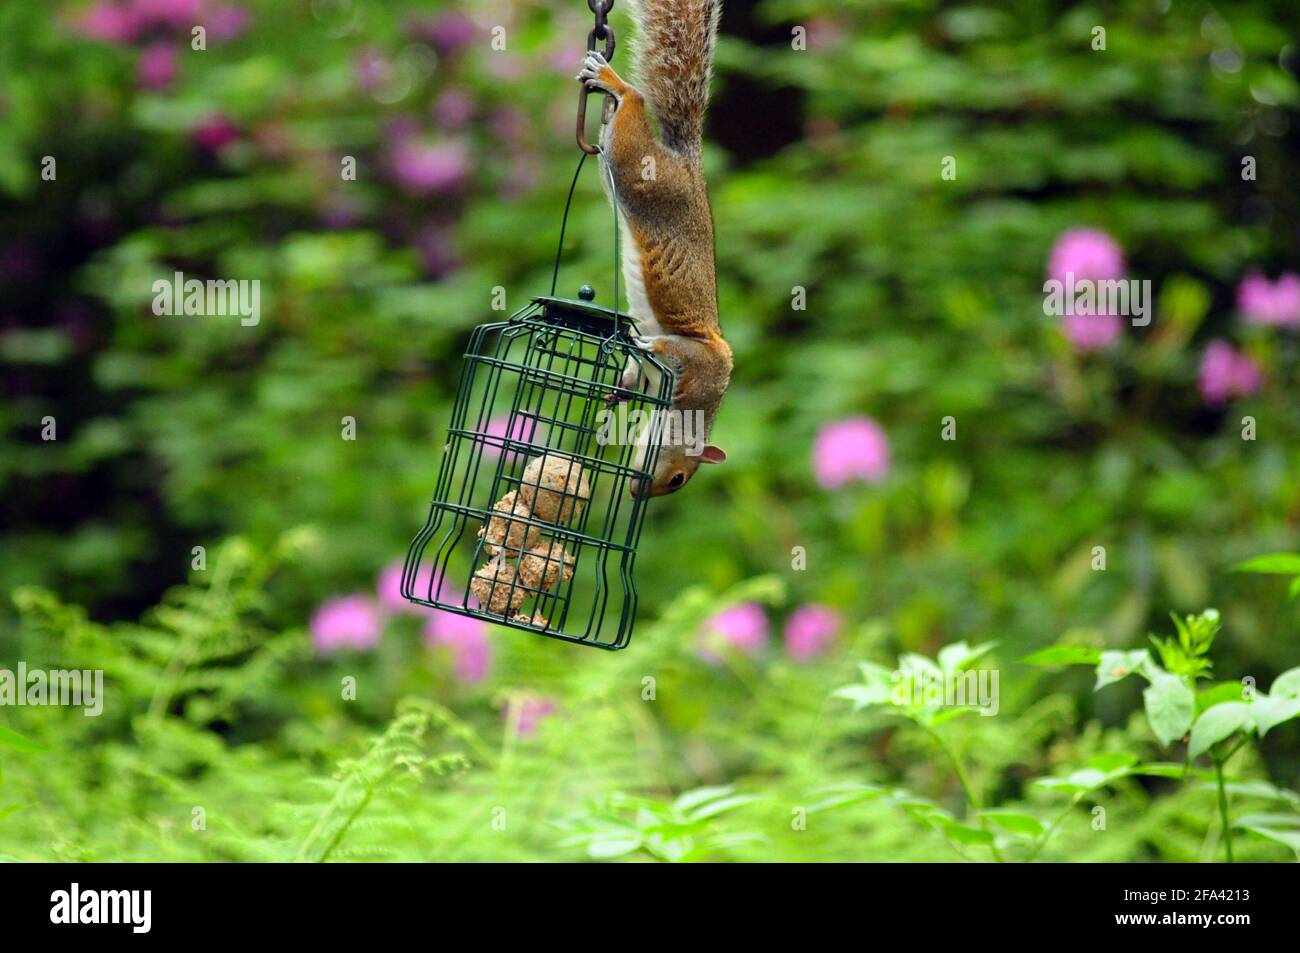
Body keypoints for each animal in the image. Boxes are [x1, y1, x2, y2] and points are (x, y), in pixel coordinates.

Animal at [576, 0, 731, 497]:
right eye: (680, 478)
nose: (637, 491)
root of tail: (688, 163)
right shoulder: (702, 361)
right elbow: (668, 345)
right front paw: (649, 341)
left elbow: (632, 373)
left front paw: (615, 391)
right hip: (640, 173)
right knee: (635, 105)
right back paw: (614, 83)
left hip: (614, 173)